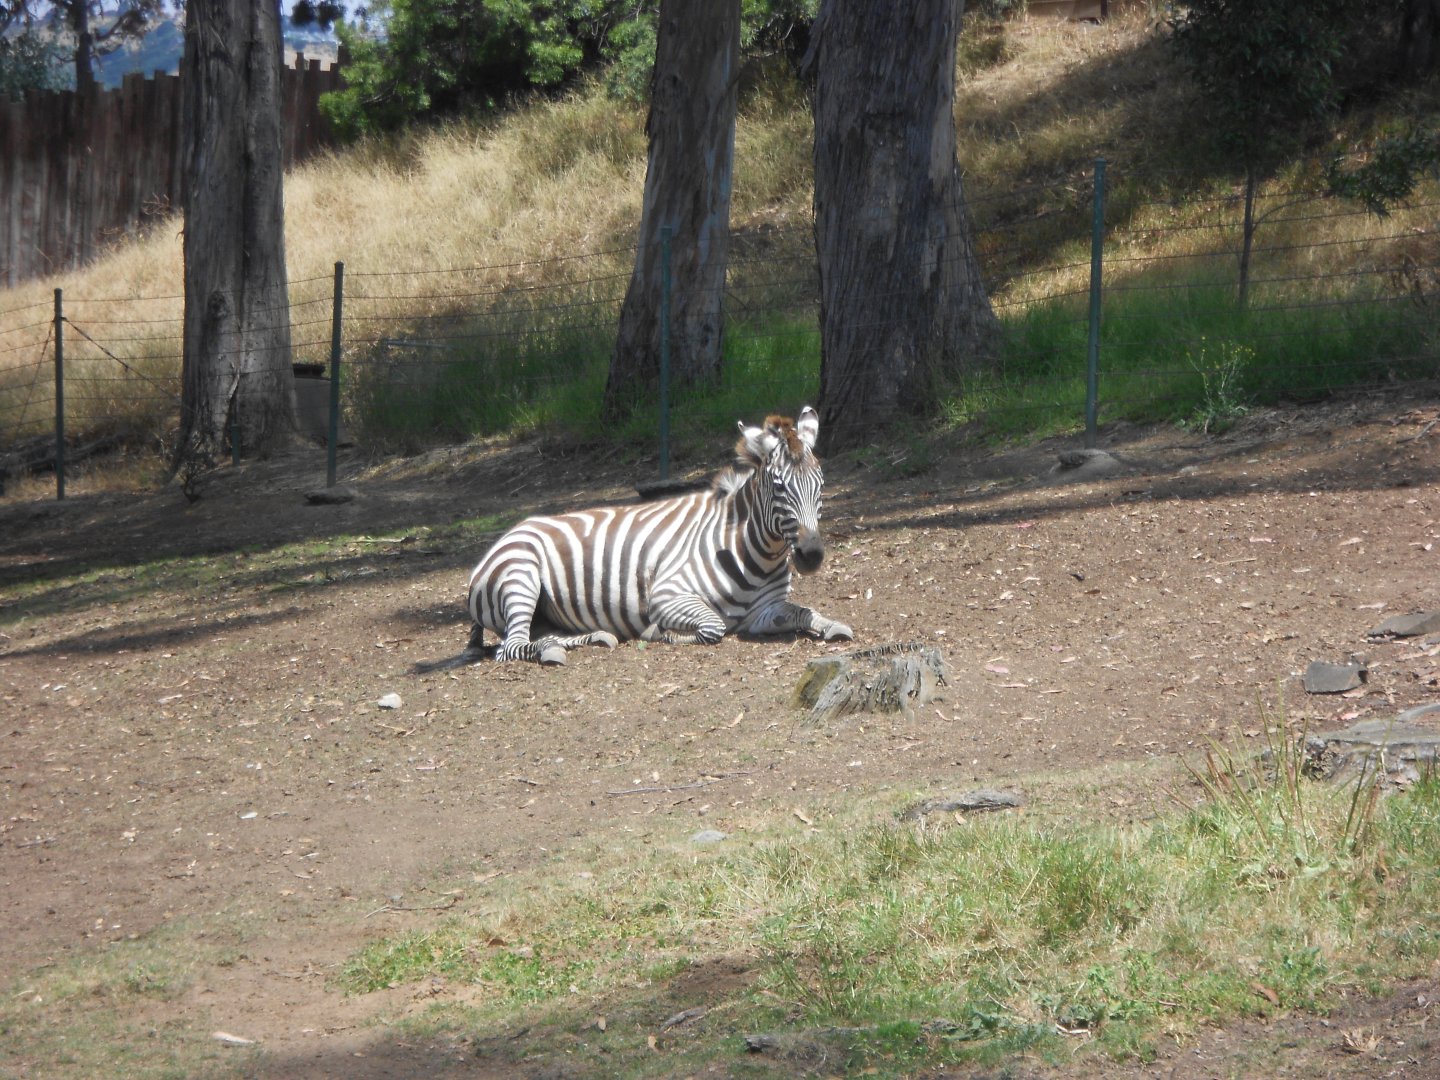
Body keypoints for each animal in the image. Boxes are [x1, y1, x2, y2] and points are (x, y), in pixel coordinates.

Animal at [461, 406, 853, 665]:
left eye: (821, 483)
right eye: (778, 486)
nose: (812, 555)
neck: (755, 552)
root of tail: (504, 537)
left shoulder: (765, 612)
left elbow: (805, 612)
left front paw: (834, 626)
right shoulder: (667, 595)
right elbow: (713, 627)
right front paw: (660, 633)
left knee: (538, 635)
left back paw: (592, 637)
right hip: (520, 577)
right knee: (510, 646)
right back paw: (551, 652)